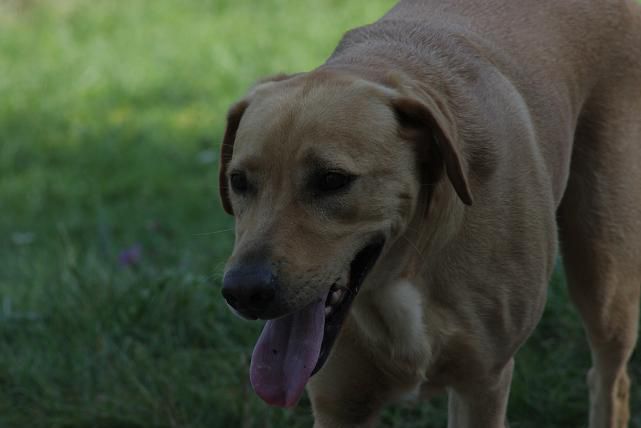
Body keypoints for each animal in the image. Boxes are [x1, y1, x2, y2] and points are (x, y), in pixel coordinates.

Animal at [218, 1, 641, 426]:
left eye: (332, 180)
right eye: (238, 181)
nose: (243, 292)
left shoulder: (483, 385)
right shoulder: (339, 404)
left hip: (603, 275)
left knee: (610, 379)